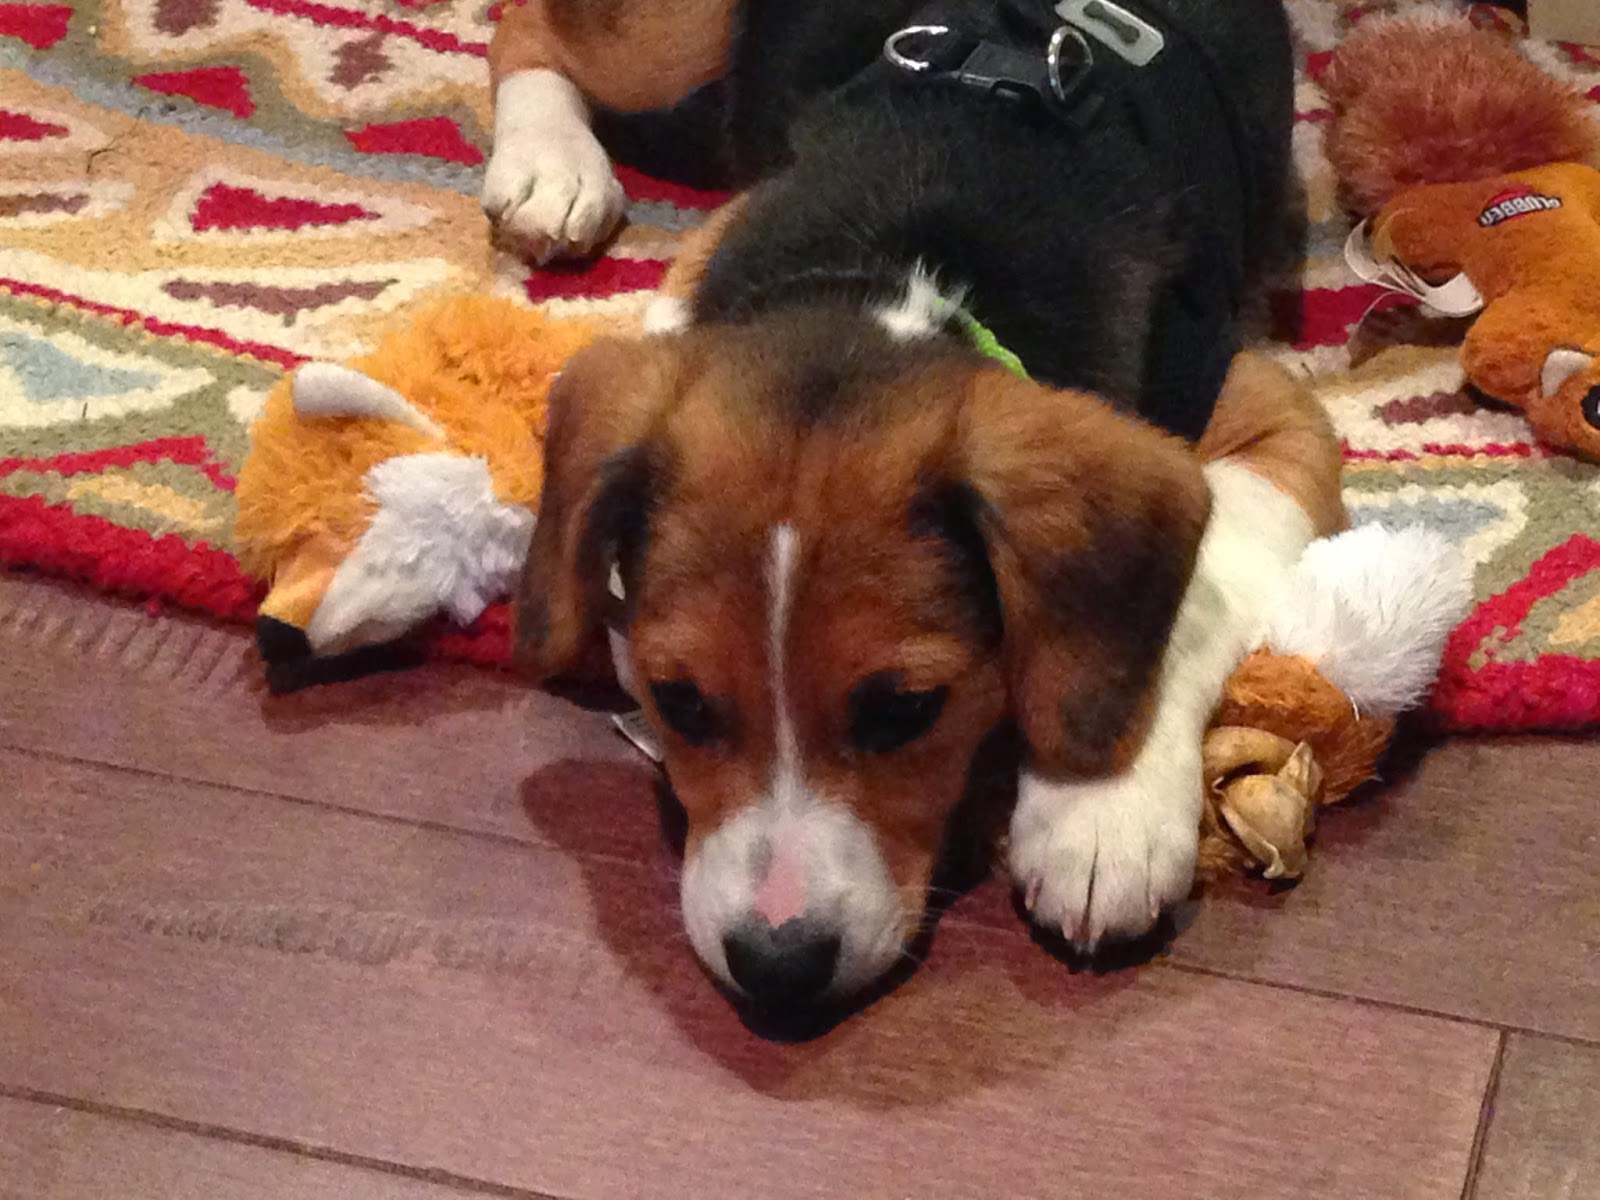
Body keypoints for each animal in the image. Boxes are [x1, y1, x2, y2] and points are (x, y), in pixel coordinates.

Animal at [491, 0, 1346, 1008]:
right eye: (681, 702)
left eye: (905, 711)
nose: (777, 969)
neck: (904, 271)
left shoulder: (1271, 416)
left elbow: (1191, 597)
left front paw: (1101, 809)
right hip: (669, 45)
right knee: (528, 30)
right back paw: (549, 167)